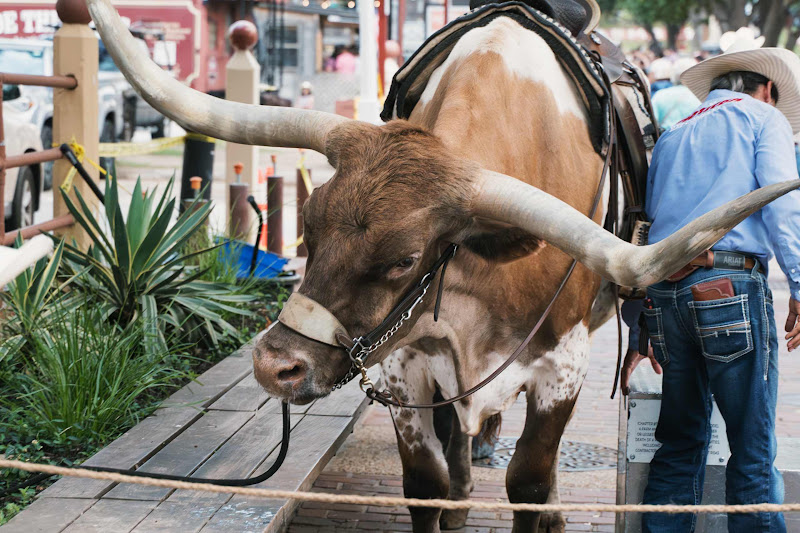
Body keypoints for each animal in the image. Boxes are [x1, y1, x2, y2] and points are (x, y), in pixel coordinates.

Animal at [88, 0, 800, 530]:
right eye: (309, 223)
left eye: (405, 258)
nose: (274, 365)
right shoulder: (404, 360)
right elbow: (426, 481)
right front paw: (449, 489)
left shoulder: (564, 366)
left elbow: (530, 480)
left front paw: (542, 506)